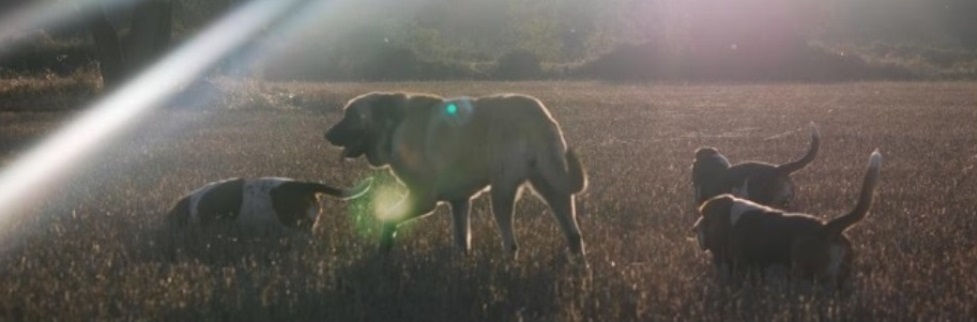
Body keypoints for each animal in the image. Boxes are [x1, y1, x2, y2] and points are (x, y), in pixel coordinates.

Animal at [326, 91, 588, 256]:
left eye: (350, 116)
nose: (326, 135)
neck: (391, 126)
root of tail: (540, 116)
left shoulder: (423, 198)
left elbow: (389, 218)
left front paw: (383, 250)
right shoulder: (460, 202)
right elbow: (462, 242)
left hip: (502, 193)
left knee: (511, 243)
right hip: (553, 189)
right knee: (574, 235)